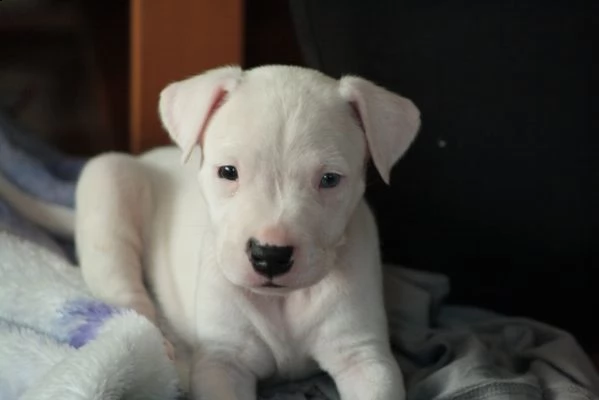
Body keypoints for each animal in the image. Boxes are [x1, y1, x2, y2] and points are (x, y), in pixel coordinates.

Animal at [75, 64, 422, 398]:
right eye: (228, 172)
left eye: (330, 179)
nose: (270, 255)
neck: (282, 302)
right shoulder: (223, 361)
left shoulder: (363, 356)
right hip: (108, 183)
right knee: (125, 295)